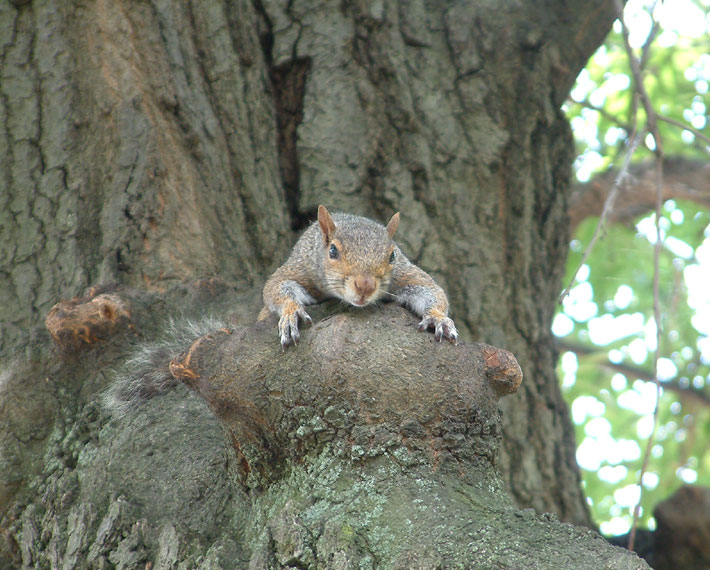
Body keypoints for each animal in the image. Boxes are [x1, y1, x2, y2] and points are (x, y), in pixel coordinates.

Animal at [258, 204, 458, 346]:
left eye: (392, 255)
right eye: (332, 250)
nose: (365, 286)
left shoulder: (403, 272)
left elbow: (432, 289)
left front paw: (437, 317)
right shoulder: (302, 268)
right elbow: (275, 286)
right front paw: (291, 312)